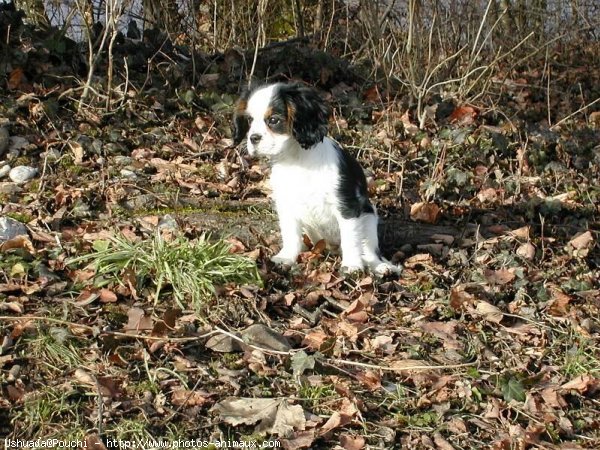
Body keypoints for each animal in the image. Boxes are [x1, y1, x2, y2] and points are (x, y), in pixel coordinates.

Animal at [233, 82, 398, 276]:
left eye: (273, 120)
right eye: (250, 120)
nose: (253, 138)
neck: (295, 158)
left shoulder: (346, 205)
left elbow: (350, 238)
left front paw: (351, 265)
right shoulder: (286, 205)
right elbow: (290, 234)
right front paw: (285, 258)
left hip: (369, 217)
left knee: (370, 251)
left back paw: (381, 266)